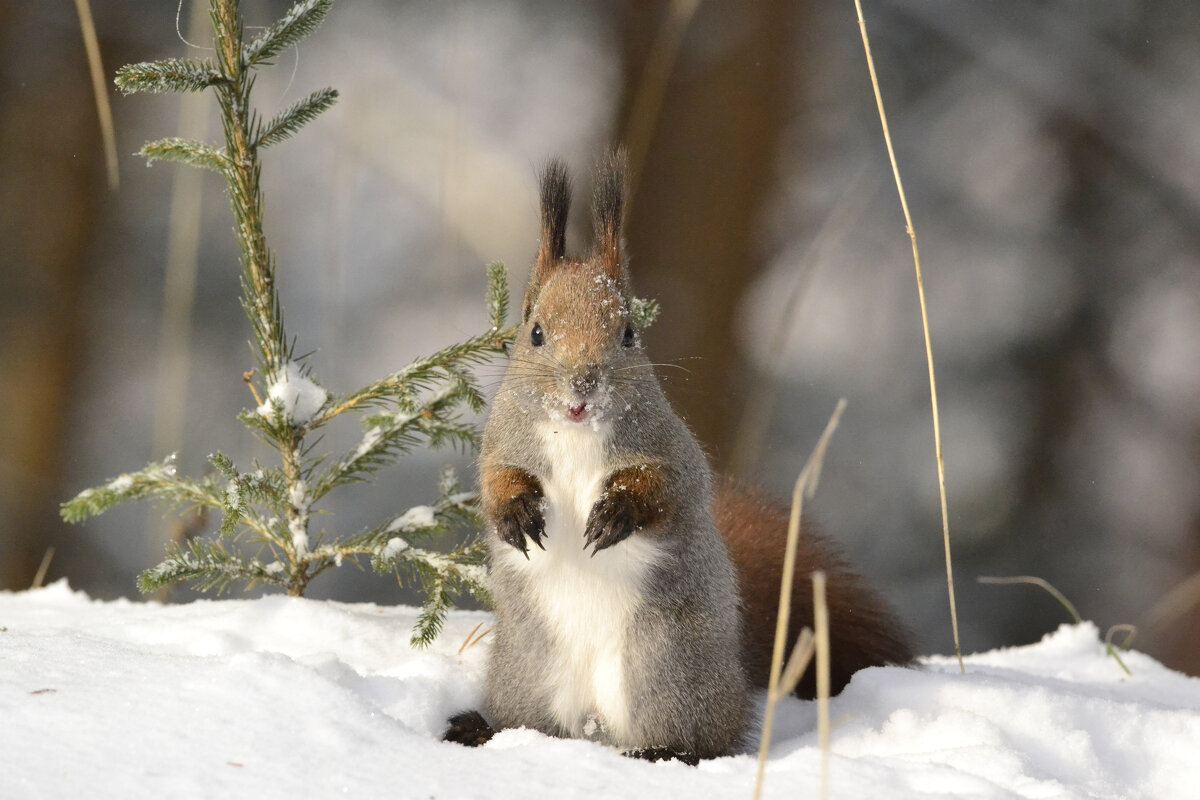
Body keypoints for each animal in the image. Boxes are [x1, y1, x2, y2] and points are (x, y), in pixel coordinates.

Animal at [446, 154, 912, 762]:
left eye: (628, 333)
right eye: (536, 331)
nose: (583, 385)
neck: (575, 433)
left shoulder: (672, 453)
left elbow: (666, 491)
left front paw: (616, 513)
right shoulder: (503, 444)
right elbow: (494, 483)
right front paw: (515, 514)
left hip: (667, 671)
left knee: (702, 742)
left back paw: (664, 752)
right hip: (531, 673)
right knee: (531, 726)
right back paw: (482, 730)